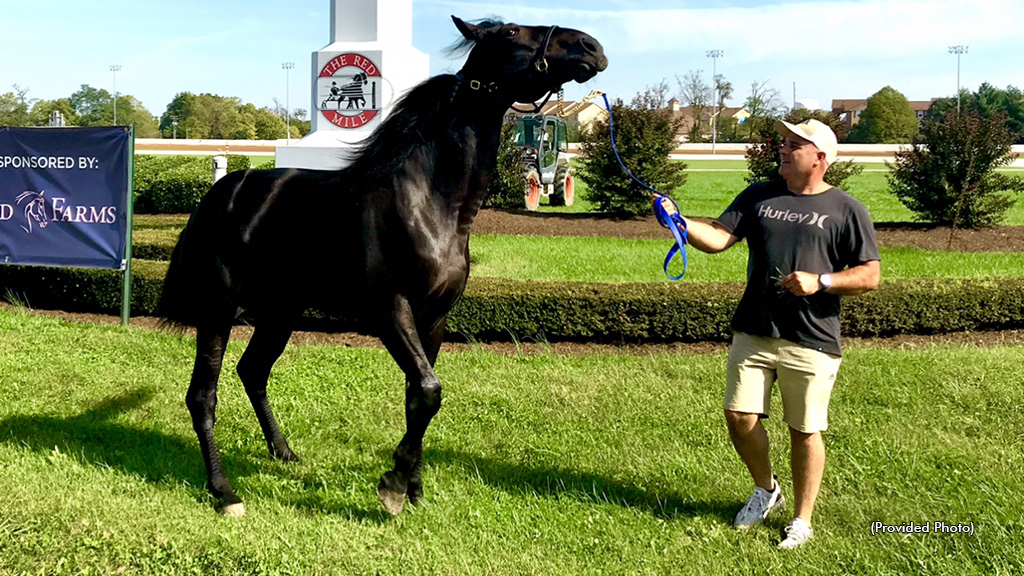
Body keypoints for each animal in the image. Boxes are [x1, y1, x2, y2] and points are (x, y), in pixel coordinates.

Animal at [160, 15, 606, 512]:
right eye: (510, 32)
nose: (591, 47)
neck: (428, 202)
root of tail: (221, 194)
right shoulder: (390, 310)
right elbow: (429, 390)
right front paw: (393, 484)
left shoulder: (434, 318)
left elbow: (419, 396)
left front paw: (414, 489)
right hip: (217, 311)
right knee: (203, 396)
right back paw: (224, 491)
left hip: (280, 313)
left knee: (253, 372)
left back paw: (284, 452)